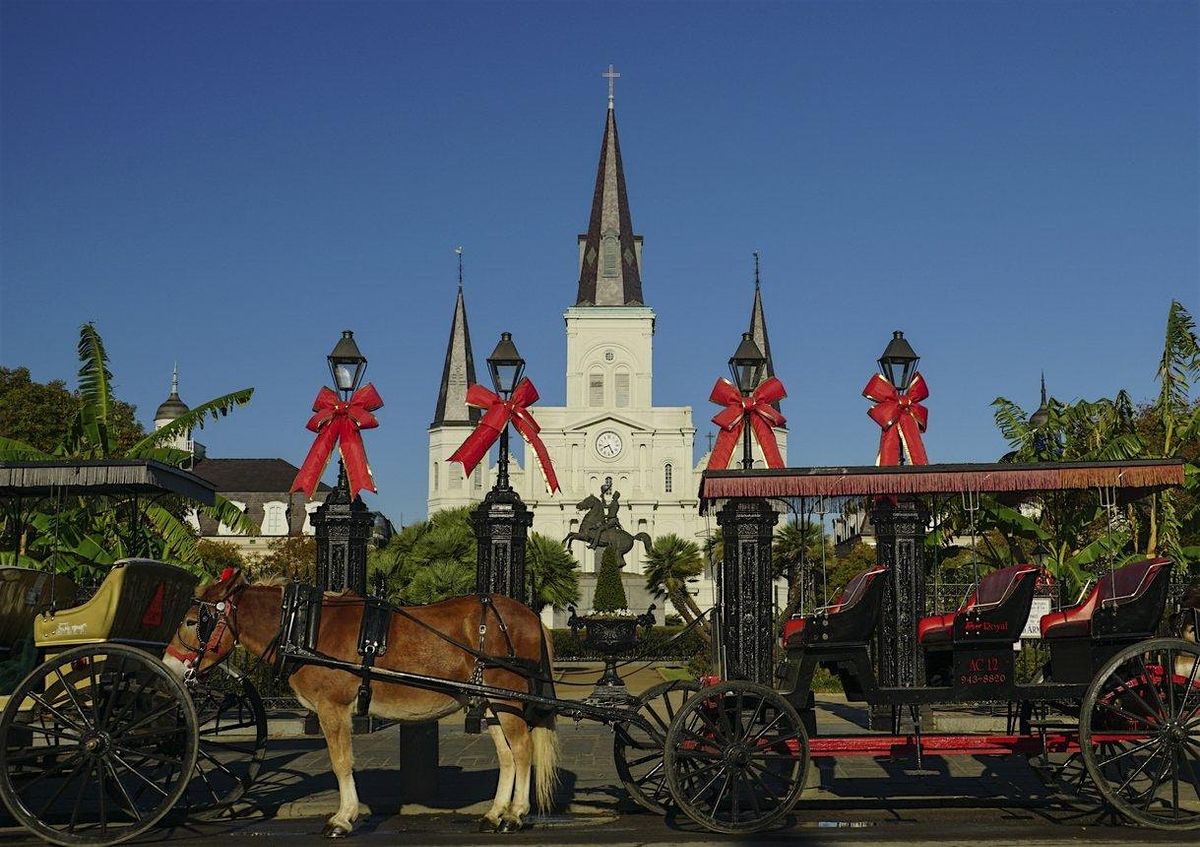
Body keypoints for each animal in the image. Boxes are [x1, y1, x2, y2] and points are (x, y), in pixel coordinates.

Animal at [163, 571, 556, 835]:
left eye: (192, 621)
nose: (169, 666)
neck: (305, 628)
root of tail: (530, 615)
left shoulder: (332, 707)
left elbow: (341, 762)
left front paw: (343, 817)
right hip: (492, 702)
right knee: (507, 756)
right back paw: (495, 812)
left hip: (504, 696)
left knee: (522, 750)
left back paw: (515, 814)